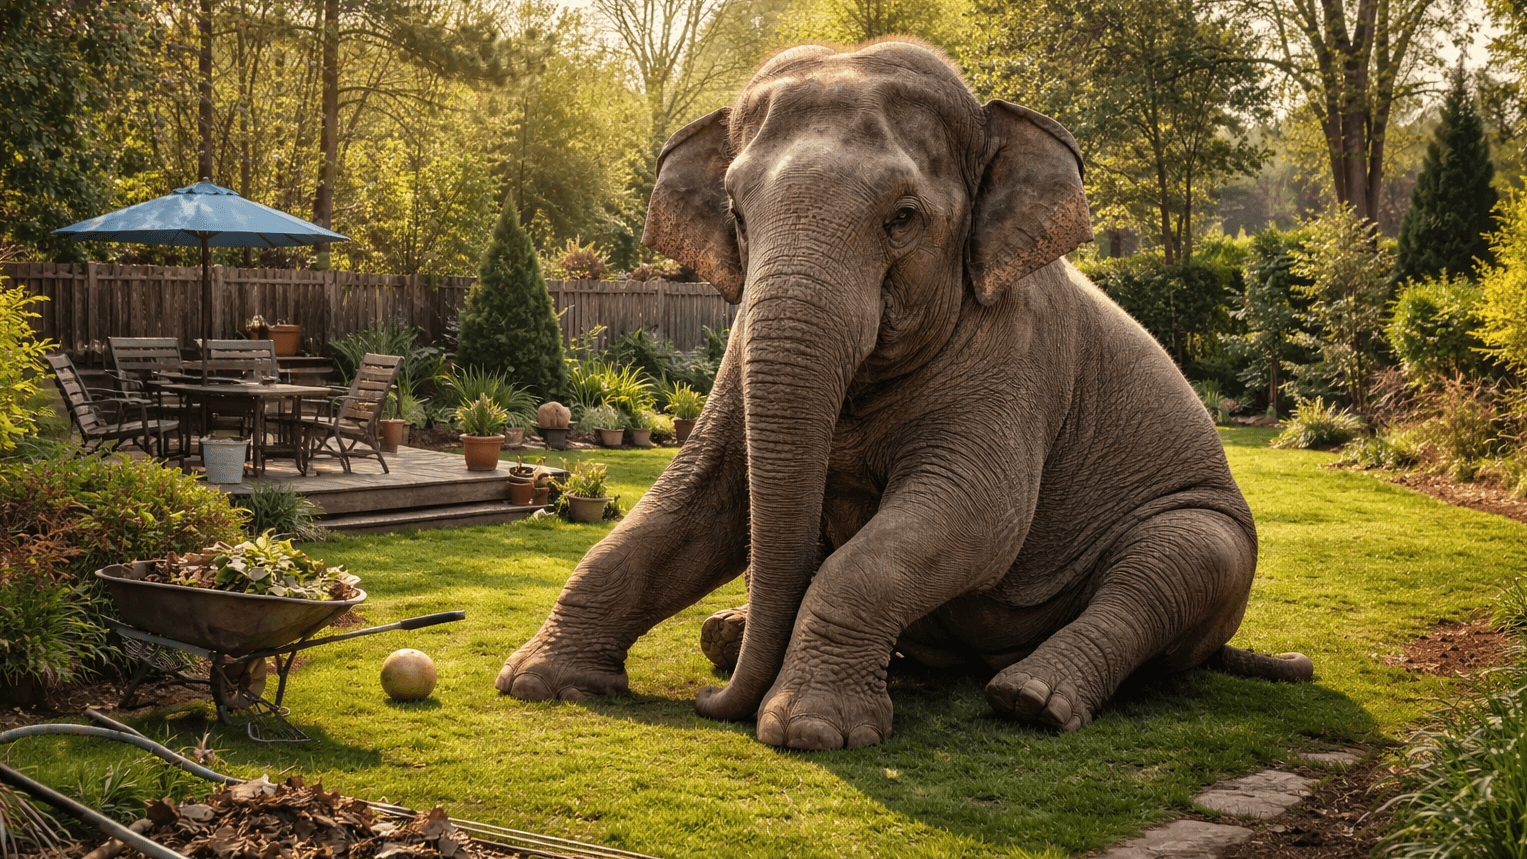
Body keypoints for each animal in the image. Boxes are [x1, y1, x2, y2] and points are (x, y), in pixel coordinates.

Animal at [497, 39, 1312, 750]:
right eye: (734, 214)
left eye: (903, 218)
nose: (711, 702)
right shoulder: (736, 356)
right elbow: (696, 503)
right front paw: (536, 681)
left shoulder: (1018, 358)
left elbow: (974, 516)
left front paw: (812, 731)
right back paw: (729, 636)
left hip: (1208, 533)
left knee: (1172, 562)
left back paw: (1031, 699)